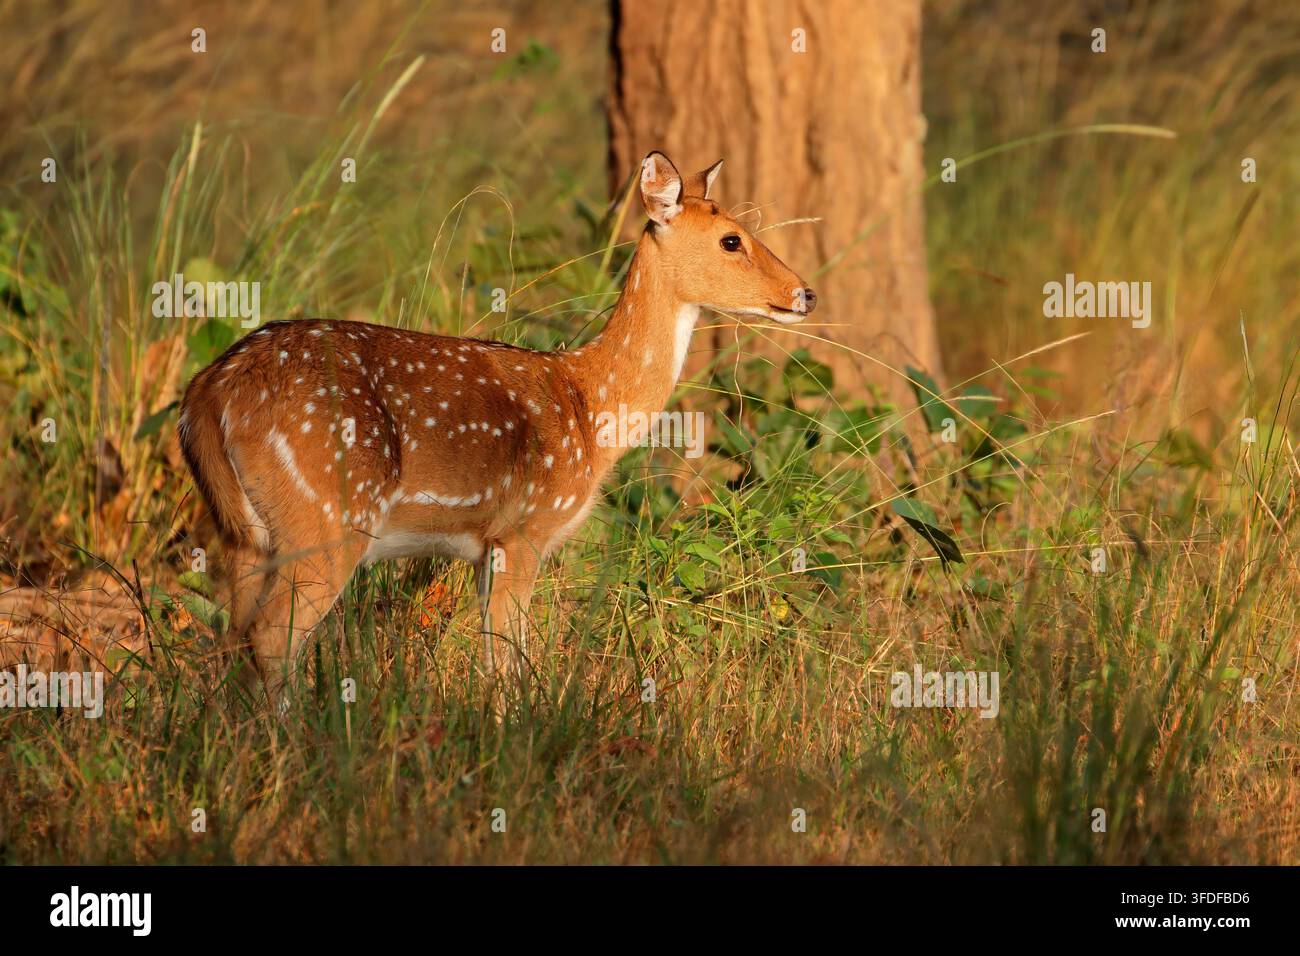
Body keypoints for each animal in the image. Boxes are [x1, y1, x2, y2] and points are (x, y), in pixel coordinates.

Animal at [178, 151, 817, 706]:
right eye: (731, 239)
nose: (805, 293)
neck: (592, 411)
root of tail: (209, 391)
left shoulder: (485, 548)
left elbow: (494, 659)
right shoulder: (525, 529)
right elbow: (509, 661)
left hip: (246, 532)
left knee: (230, 638)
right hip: (326, 514)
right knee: (270, 639)